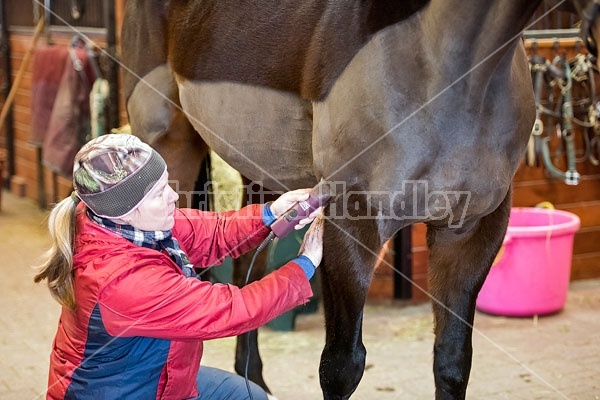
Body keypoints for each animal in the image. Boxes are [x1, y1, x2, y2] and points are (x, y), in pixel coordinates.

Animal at [118, 1, 600, 398]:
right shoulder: (354, 224)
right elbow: (341, 367)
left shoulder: (471, 231)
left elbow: (452, 362)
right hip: (171, 147)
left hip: (261, 170)